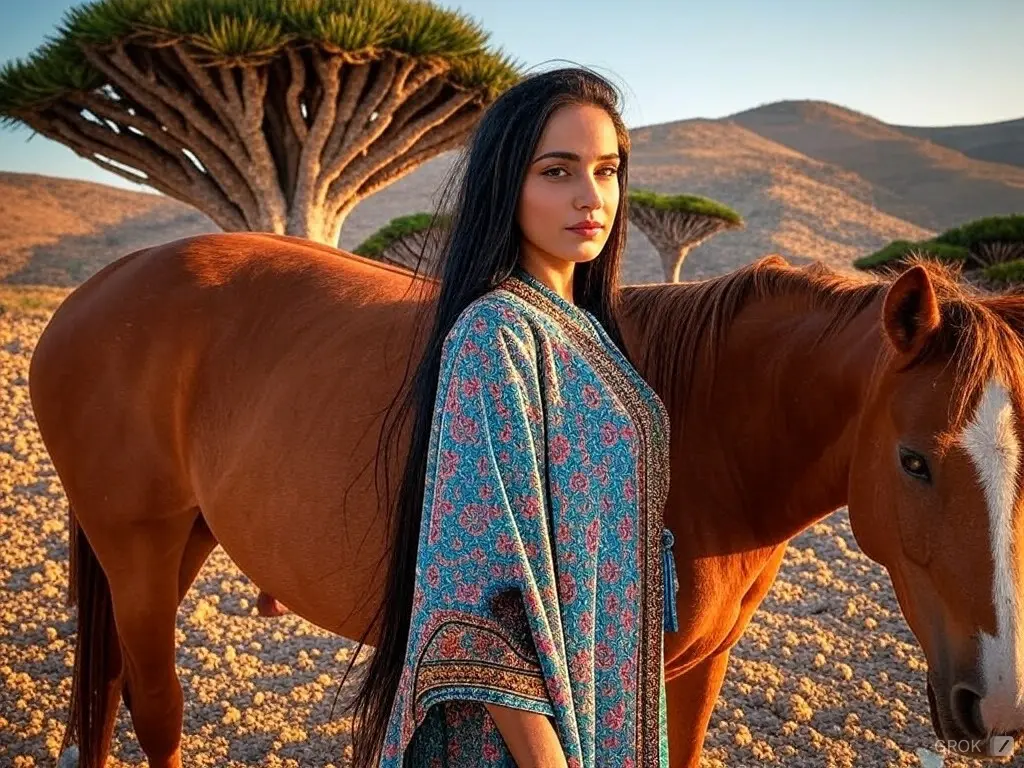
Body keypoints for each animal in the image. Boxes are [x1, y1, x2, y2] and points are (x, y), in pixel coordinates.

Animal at [28, 231, 1024, 765]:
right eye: (914, 461)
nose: (998, 704)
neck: (707, 423)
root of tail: (101, 287)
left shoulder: (698, 666)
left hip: (182, 541)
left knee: (111, 684)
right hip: (138, 544)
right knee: (155, 704)